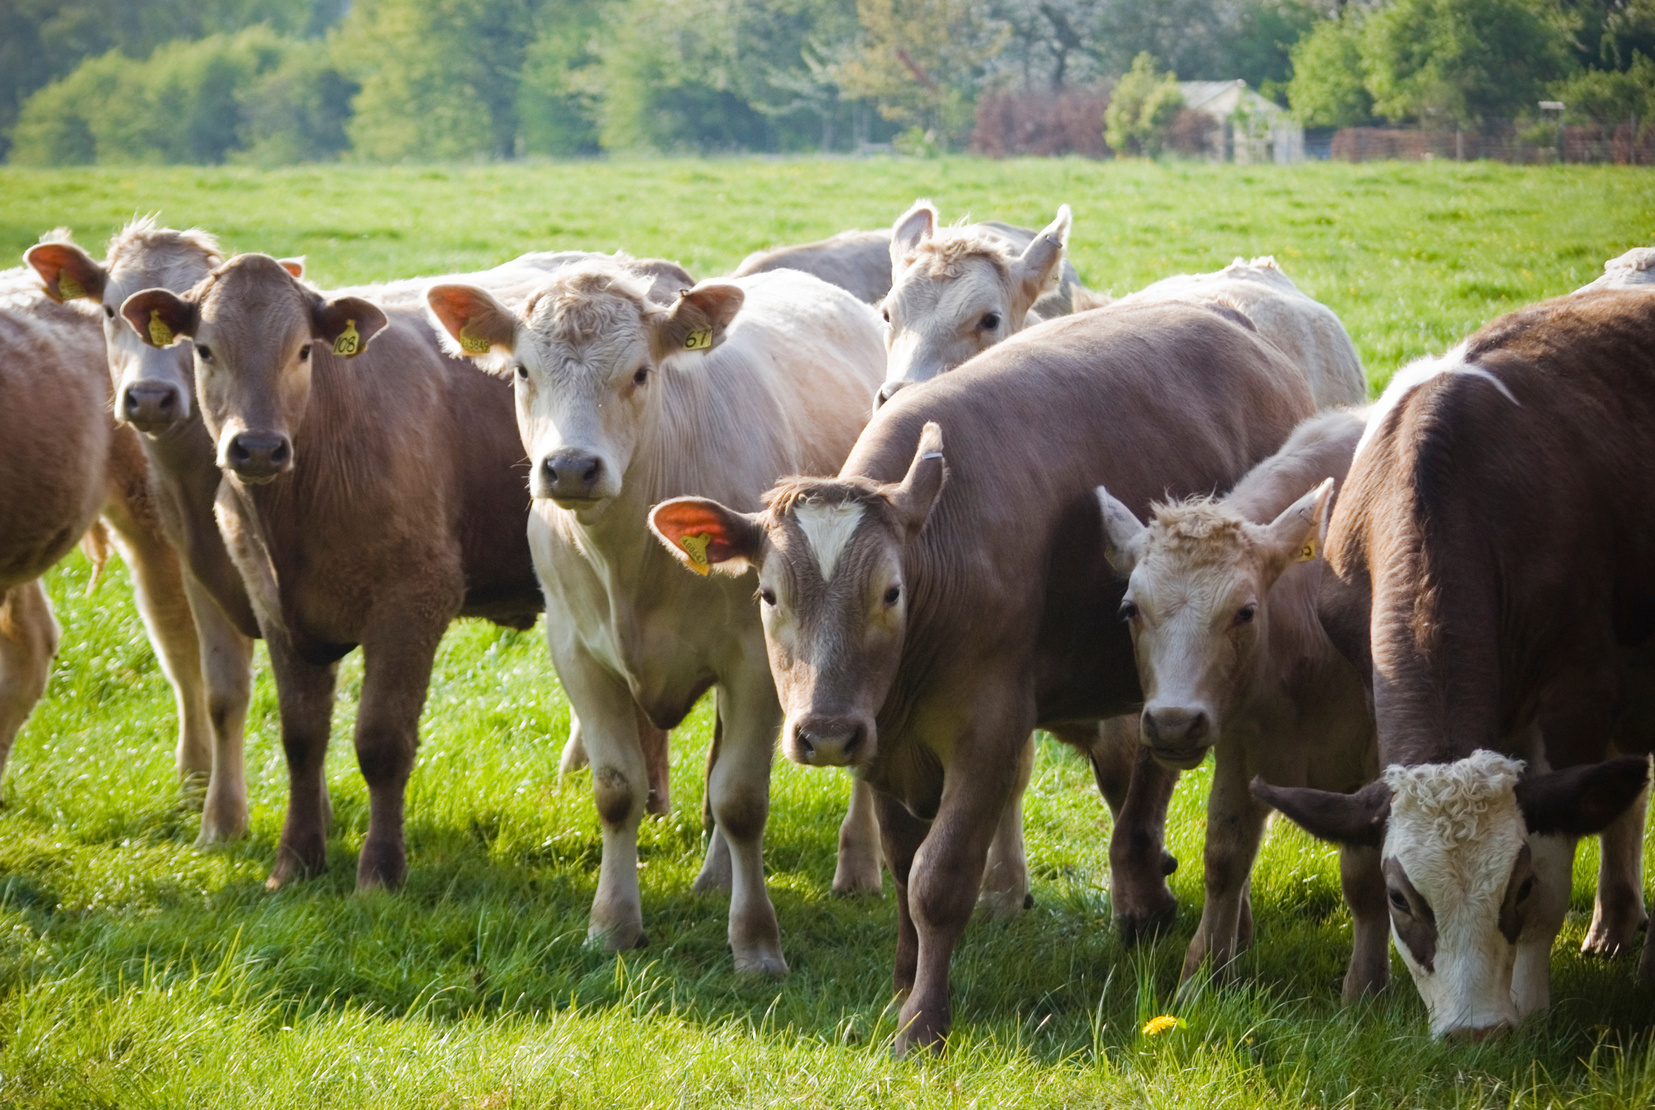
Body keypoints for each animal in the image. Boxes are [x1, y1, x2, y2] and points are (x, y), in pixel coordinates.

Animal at [430, 263, 893, 972]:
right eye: (523, 371)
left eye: (641, 372)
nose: (571, 467)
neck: (631, 556)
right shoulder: (576, 654)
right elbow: (620, 789)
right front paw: (612, 924)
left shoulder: (755, 659)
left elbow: (742, 799)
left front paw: (755, 943)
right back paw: (715, 876)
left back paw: (858, 866)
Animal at [652, 304, 1310, 1052]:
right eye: (768, 595)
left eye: (891, 593)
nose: (825, 734)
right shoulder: (884, 742)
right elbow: (902, 864)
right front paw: (902, 987)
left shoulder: (988, 733)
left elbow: (939, 879)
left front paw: (922, 1022)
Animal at [1105, 411, 1390, 1005]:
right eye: (1129, 609)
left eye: (1245, 611)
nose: (1172, 722)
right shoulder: (1238, 746)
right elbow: (1224, 855)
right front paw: (1202, 977)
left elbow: (1364, 872)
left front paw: (1365, 989)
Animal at [1251, 289, 1655, 1045]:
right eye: (1402, 898)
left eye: (1515, 887)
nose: (1472, 1031)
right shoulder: (1365, 680)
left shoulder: (1578, 693)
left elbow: (1556, 861)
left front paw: (1529, 1005)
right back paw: (1615, 928)